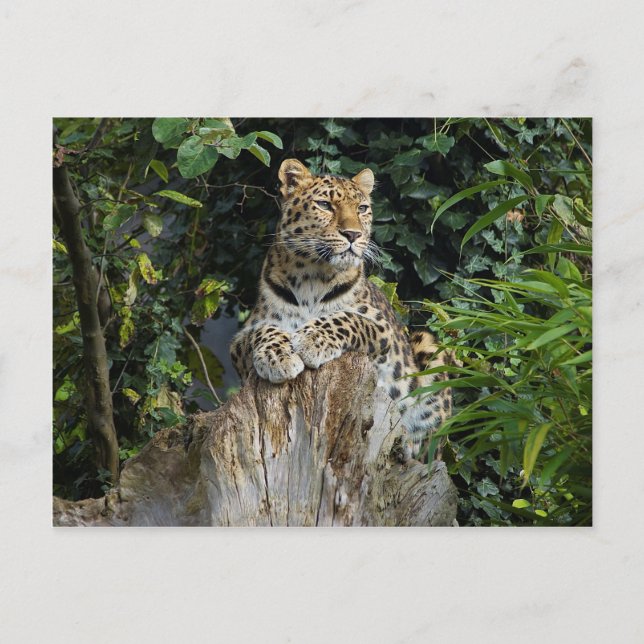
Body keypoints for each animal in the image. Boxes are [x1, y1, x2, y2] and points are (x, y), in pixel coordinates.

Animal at [230, 158, 453, 458]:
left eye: (362, 209)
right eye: (325, 205)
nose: (353, 234)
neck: (312, 276)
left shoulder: (384, 330)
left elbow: (344, 318)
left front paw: (311, 340)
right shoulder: (242, 337)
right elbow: (264, 331)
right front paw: (279, 357)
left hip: (427, 351)